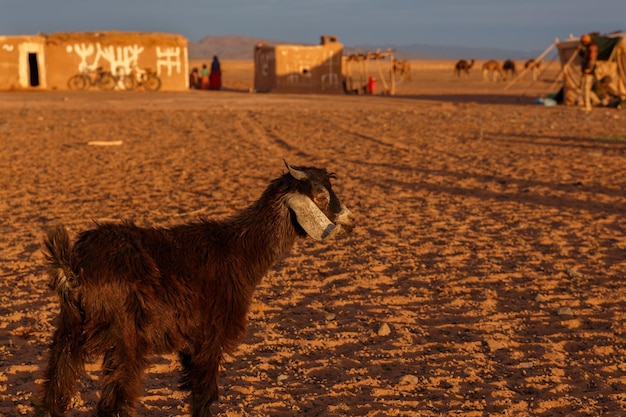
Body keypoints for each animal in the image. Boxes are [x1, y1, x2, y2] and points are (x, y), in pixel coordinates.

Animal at [36, 160, 354, 416]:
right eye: (320, 195)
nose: (351, 221)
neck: (238, 251)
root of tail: (73, 267)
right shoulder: (209, 337)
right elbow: (204, 397)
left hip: (69, 331)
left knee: (55, 392)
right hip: (125, 339)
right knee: (113, 404)